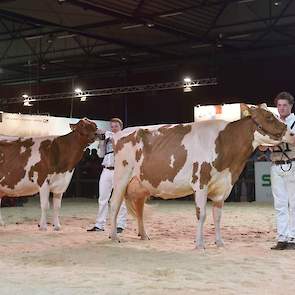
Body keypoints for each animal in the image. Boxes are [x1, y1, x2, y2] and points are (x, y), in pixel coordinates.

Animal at [110, 105, 295, 249]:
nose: (292, 134)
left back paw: (144, 235)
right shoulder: (200, 183)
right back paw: (114, 237)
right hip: (121, 178)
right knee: (114, 205)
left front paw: (219, 242)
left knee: (139, 208)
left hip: (141, 185)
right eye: (269, 117)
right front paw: (200, 244)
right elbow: (202, 214)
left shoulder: (222, 187)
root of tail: (120, 133)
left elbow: (217, 216)